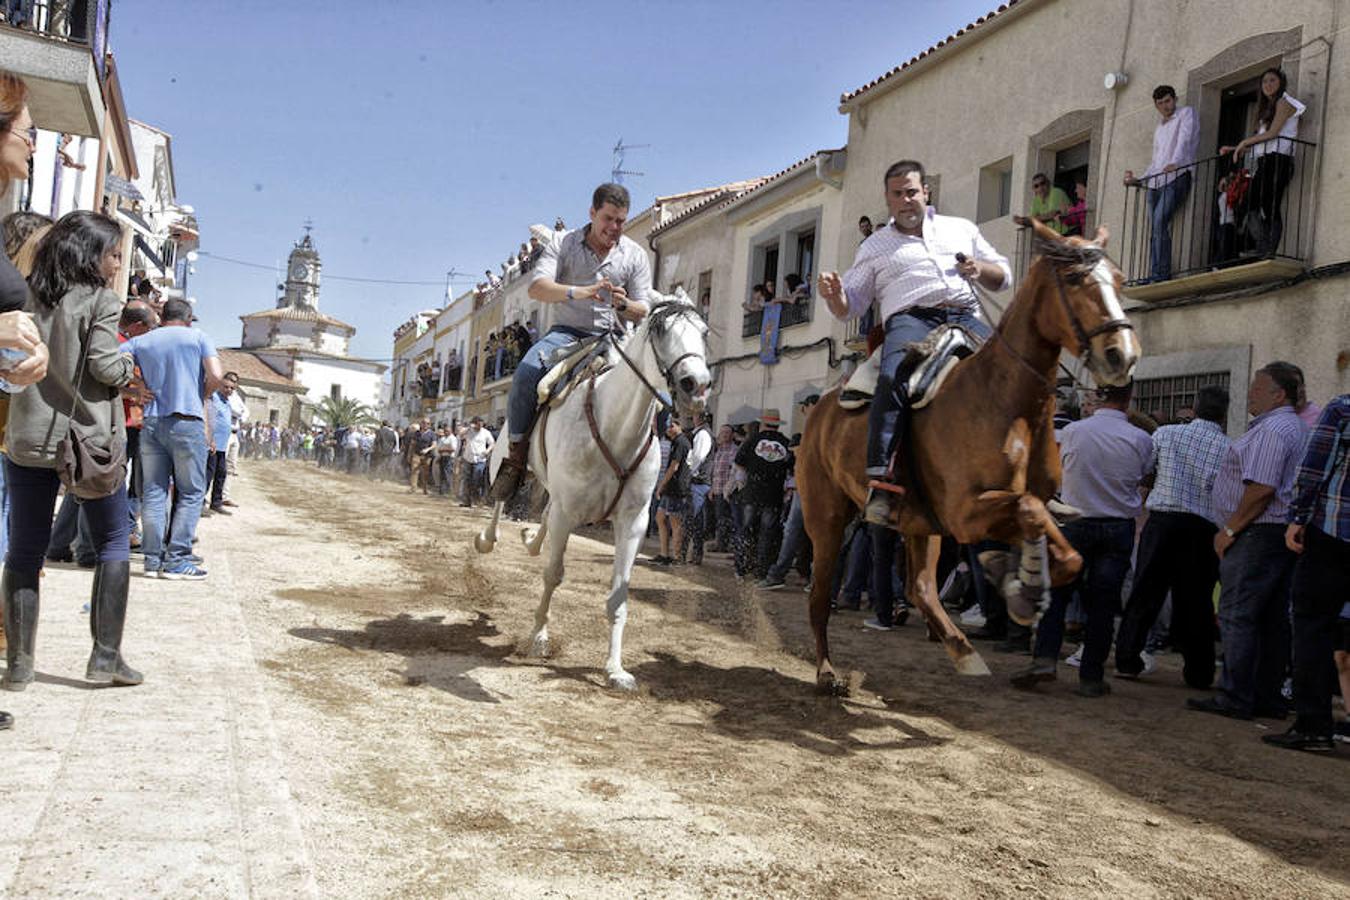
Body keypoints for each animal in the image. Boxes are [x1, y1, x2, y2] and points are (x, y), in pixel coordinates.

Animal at [475, 288, 712, 690]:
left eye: (704, 331)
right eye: (661, 329)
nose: (696, 385)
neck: (615, 427)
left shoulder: (633, 522)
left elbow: (618, 595)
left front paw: (615, 669)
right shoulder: (569, 511)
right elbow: (553, 574)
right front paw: (538, 637)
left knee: (543, 513)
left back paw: (530, 539)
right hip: (505, 456)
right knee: (501, 498)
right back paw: (488, 538)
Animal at [793, 225, 1144, 690]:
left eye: (1119, 280)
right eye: (1073, 279)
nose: (1121, 354)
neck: (1004, 402)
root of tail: (820, 410)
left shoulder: (998, 512)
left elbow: (1067, 553)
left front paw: (1018, 579)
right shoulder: (966, 513)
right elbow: (1030, 510)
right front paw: (1017, 584)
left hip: (919, 523)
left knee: (920, 588)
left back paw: (963, 650)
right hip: (826, 517)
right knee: (819, 596)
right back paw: (828, 672)